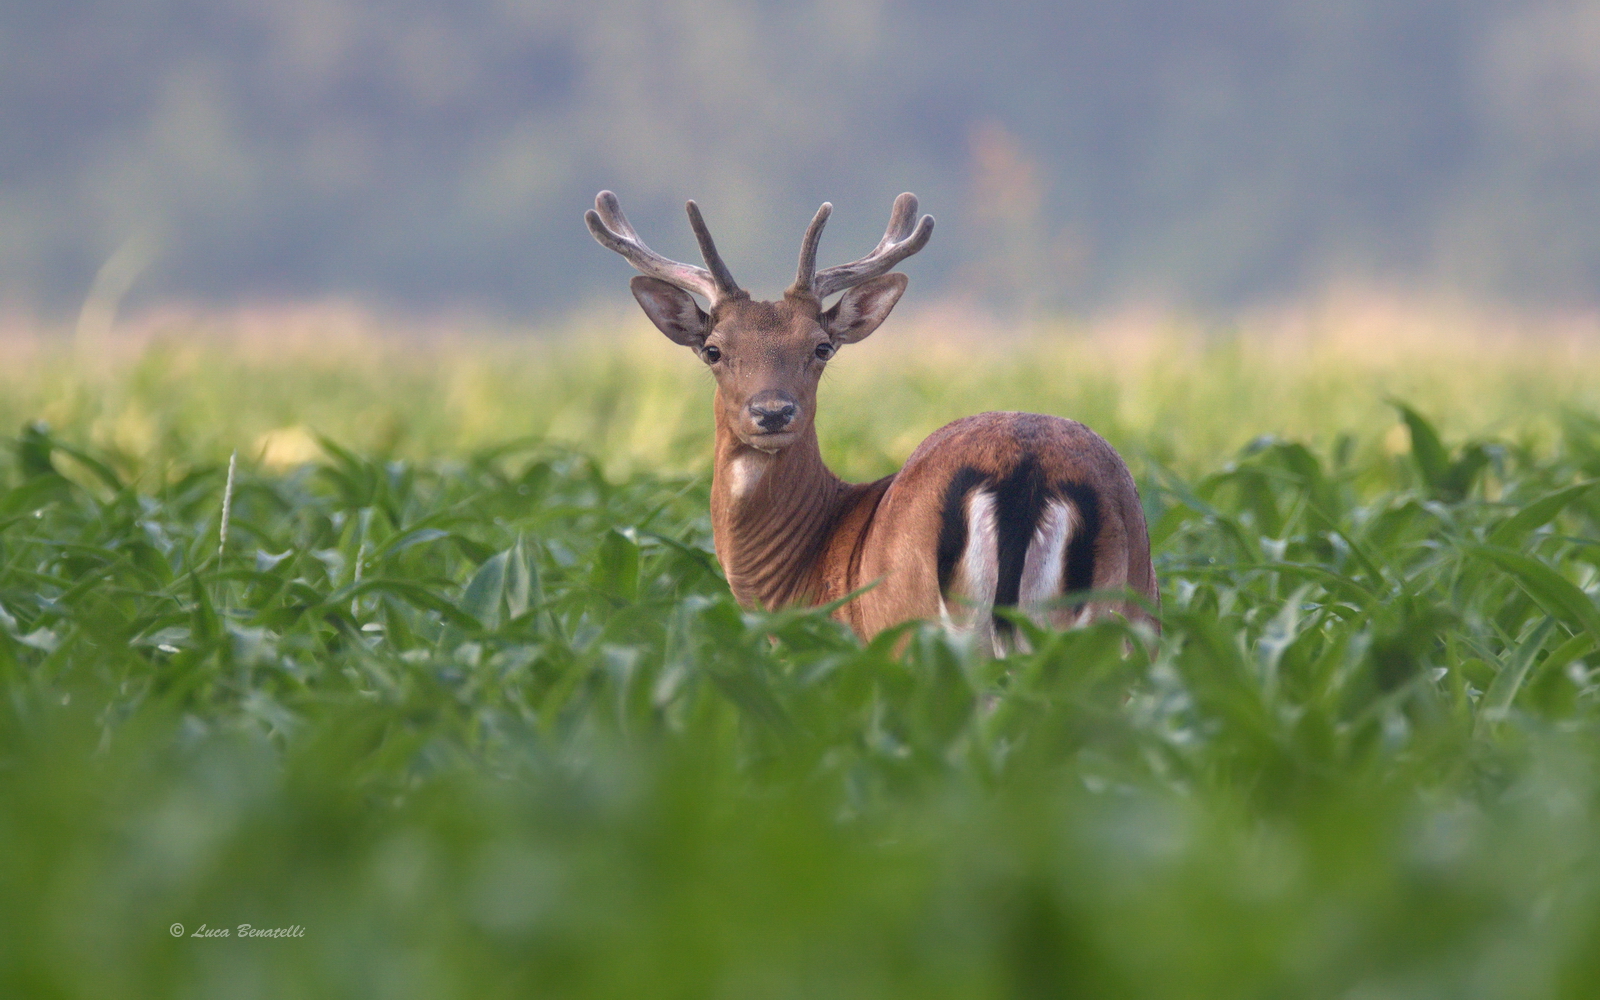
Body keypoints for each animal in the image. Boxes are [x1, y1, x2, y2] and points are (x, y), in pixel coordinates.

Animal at [586, 190, 1158, 652]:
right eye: (713, 350)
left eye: (821, 347)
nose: (772, 412)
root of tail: (1027, 471)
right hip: (1126, 616)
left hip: (919, 627)